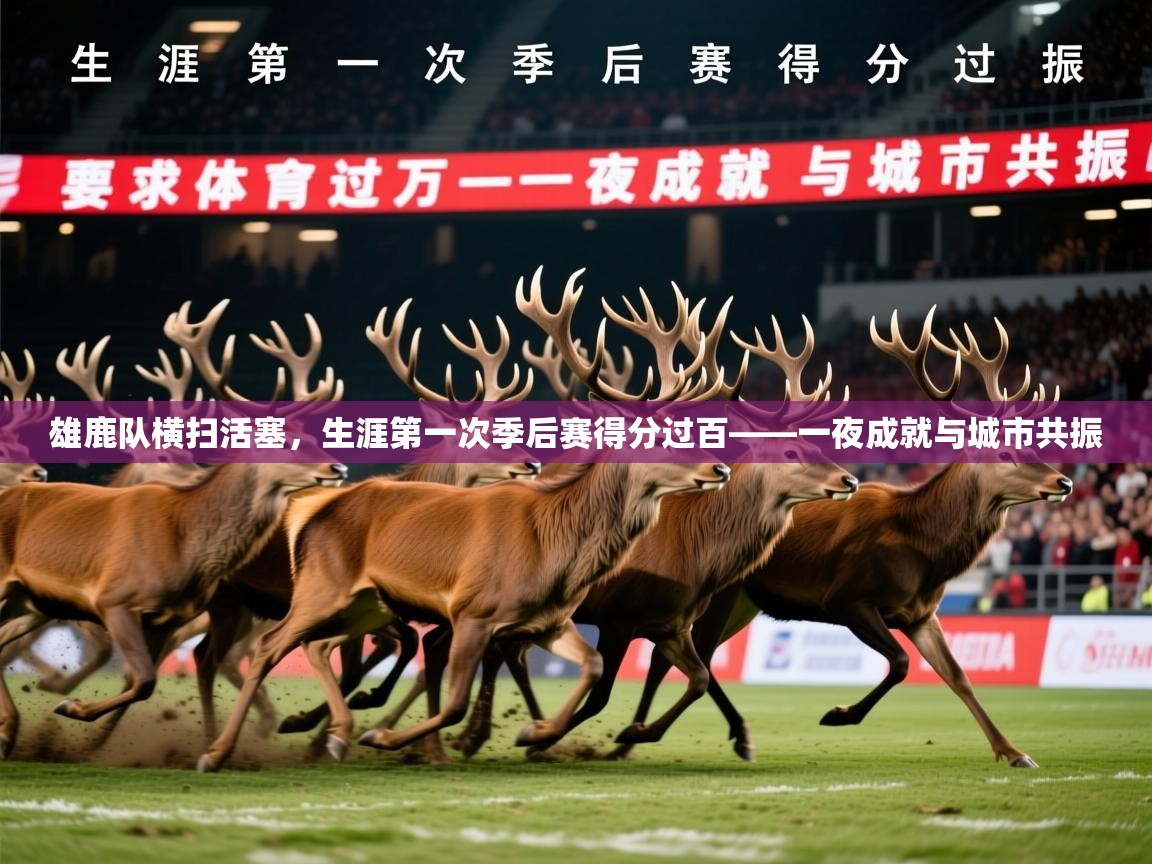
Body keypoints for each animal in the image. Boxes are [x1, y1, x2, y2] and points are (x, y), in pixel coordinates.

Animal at [623, 308, 1072, 768]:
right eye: (1006, 452)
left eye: (1033, 445)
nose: (1065, 481)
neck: (924, 553)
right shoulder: (846, 597)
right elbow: (900, 663)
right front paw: (839, 714)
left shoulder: (922, 614)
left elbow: (958, 676)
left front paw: (1014, 752)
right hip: (719, 595)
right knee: (683, 655)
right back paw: (638, 736)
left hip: (743, 601)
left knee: (682, 656)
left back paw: (675, 737)